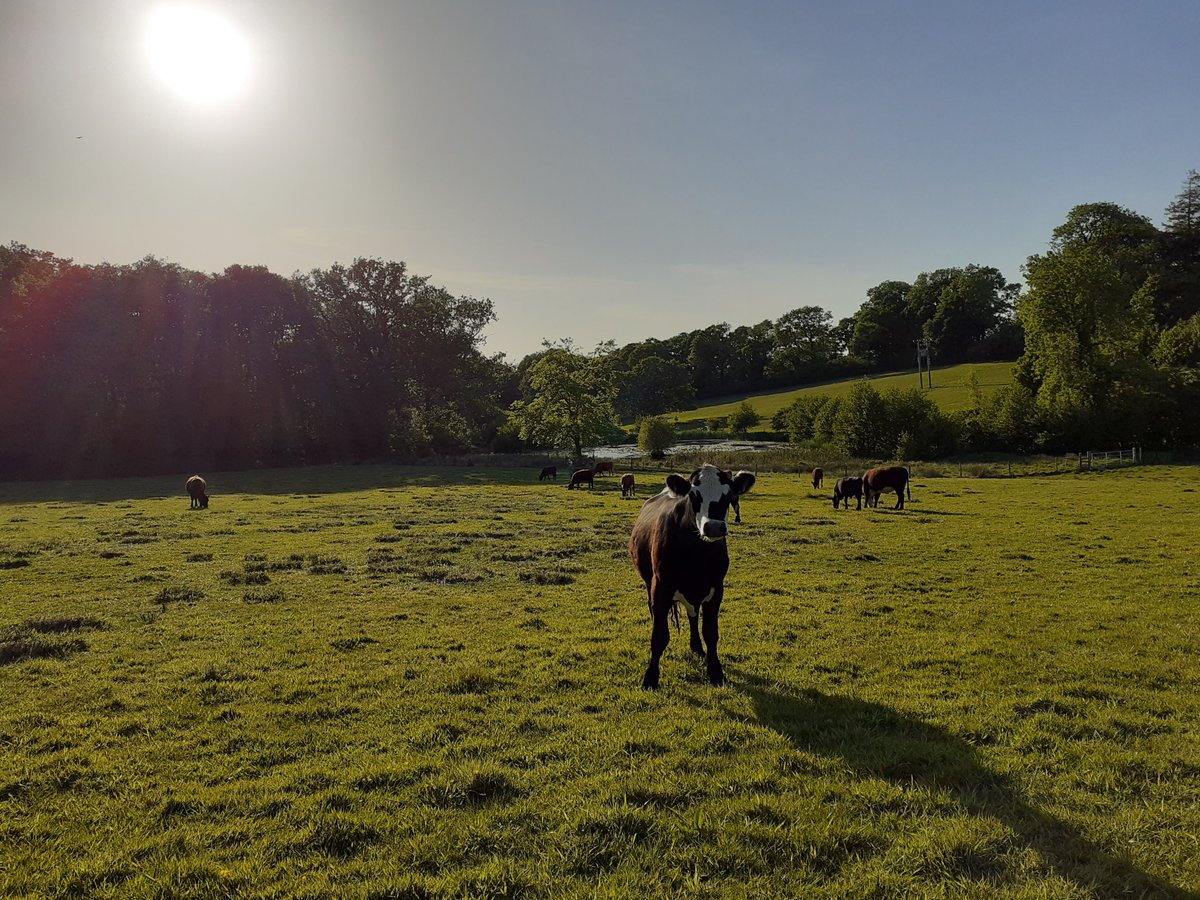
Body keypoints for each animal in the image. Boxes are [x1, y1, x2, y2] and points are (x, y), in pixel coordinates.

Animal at [624, 465, 753, 691]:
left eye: (729, 495)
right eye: (694, 495)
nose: (714, 527)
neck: (696, 554)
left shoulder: (716, 590)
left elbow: (711, 633)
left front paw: (716, 672)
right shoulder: (661, 588)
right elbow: (659, 635)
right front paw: (650, 677)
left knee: (693, 616)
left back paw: (697, 647)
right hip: (649, 584)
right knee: (655, 612)